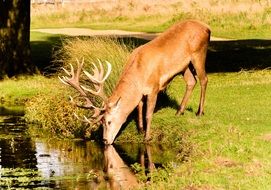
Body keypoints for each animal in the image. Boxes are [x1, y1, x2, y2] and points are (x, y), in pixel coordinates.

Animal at [59, 19, 211, 144]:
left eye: (109, 121)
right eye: (101, 122)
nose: (105, 140)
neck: (139, 74)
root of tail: (207, 28)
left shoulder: (154, 87)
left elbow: (148, 114)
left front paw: (147, 137)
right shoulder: (140, 93)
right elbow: (139, 109)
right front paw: (141, 130)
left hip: (199, 53)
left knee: (204, 79)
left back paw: (200, 112)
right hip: (185, 66)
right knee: (191, 81)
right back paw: (179, 112)